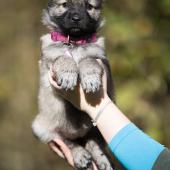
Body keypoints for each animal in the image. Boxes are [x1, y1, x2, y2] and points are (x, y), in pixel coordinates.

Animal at [31, 0, 114, 169]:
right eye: (65, 4)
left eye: (89, 6)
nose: (76, 18)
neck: (74, 42)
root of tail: (78, 134)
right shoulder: (49, 63)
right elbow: (62, 58)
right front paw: (68, 74)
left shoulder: (102, 61)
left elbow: (88, 59)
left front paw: (90, 77)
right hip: (40, 127)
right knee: (66, 140)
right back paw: (79, 153)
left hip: (96, 129)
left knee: (93, 142)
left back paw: (103, 160)